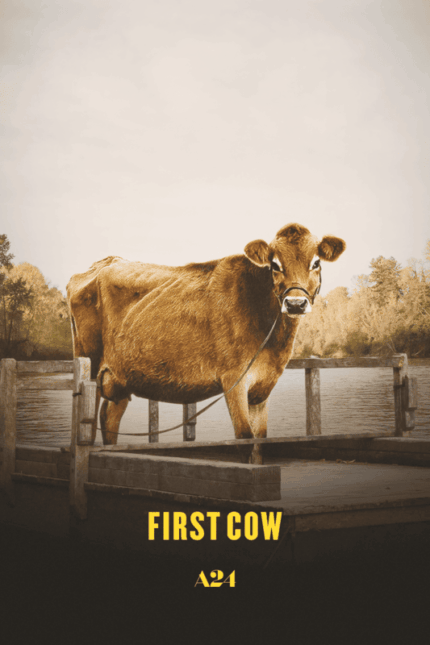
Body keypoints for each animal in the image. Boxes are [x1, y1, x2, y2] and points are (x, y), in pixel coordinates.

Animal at [67, 223, 345, 459]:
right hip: (89, 364)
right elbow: (245, 439)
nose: (295, 303)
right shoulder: (234, 379)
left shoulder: (262, 386)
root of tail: (103, 262)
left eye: (316, 262)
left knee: (109, 419)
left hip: (121, 376)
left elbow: (260, 441)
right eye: (274, 265)